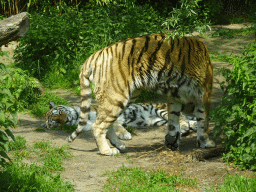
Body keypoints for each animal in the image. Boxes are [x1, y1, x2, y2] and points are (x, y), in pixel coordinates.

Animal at [67, 33, 215, 156]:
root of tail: (93, 56)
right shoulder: (204, 95)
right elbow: (203, 121)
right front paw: (206, 143)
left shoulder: (175, 97)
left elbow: (174, 121)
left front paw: (172, 141)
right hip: (116, 97)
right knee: (97, 127)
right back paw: (107, 151)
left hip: (126, 98)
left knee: (108, 124)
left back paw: (119, 145)